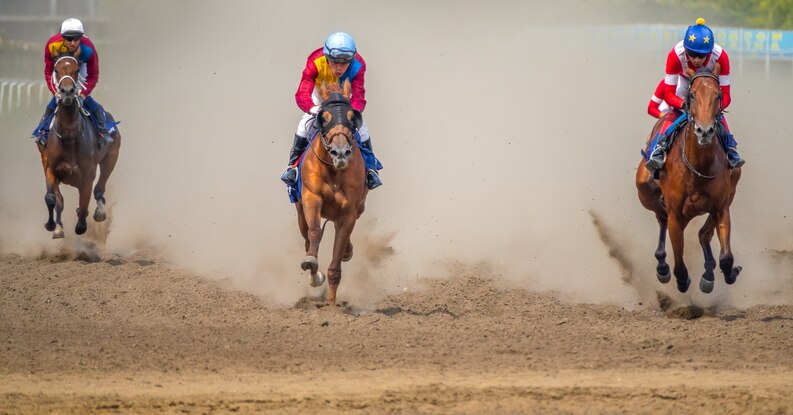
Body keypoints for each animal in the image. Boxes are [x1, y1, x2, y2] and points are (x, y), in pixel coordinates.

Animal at [37, 54, 121, 239]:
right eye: (56, 69)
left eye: (76, 70)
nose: (67, 92)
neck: (69, 137)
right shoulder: (51, 169)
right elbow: (52, 199)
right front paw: (53, 226)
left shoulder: (87, 176)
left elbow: (83, 204)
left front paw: (81, 224)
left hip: (111, 158)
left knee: (99, 189)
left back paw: (99, 212)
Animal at [295, 80, 367, 305]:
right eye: (324, 118)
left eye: (352, 118)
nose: (341, 152)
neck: (335, 172)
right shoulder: (311, 198)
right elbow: (315, 232)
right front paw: (312, 267)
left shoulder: (348, 213)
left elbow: (335, 268)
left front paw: (332, 306)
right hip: (300, 211)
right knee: (306, 237)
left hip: (358, 209)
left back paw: (347, 251)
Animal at [636, 67, 742, 294]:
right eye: (692, 95)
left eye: (718, 95)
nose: (704, 130)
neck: (699, 167)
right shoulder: (676, 215)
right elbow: (680, 265)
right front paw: (680, 278)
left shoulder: (721, 207)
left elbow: (726, 257)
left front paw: (728, 272)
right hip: (645, 190)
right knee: (661, 218)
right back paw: (662, 266)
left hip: (730, 192)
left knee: (703, 234)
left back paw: (709, 272)